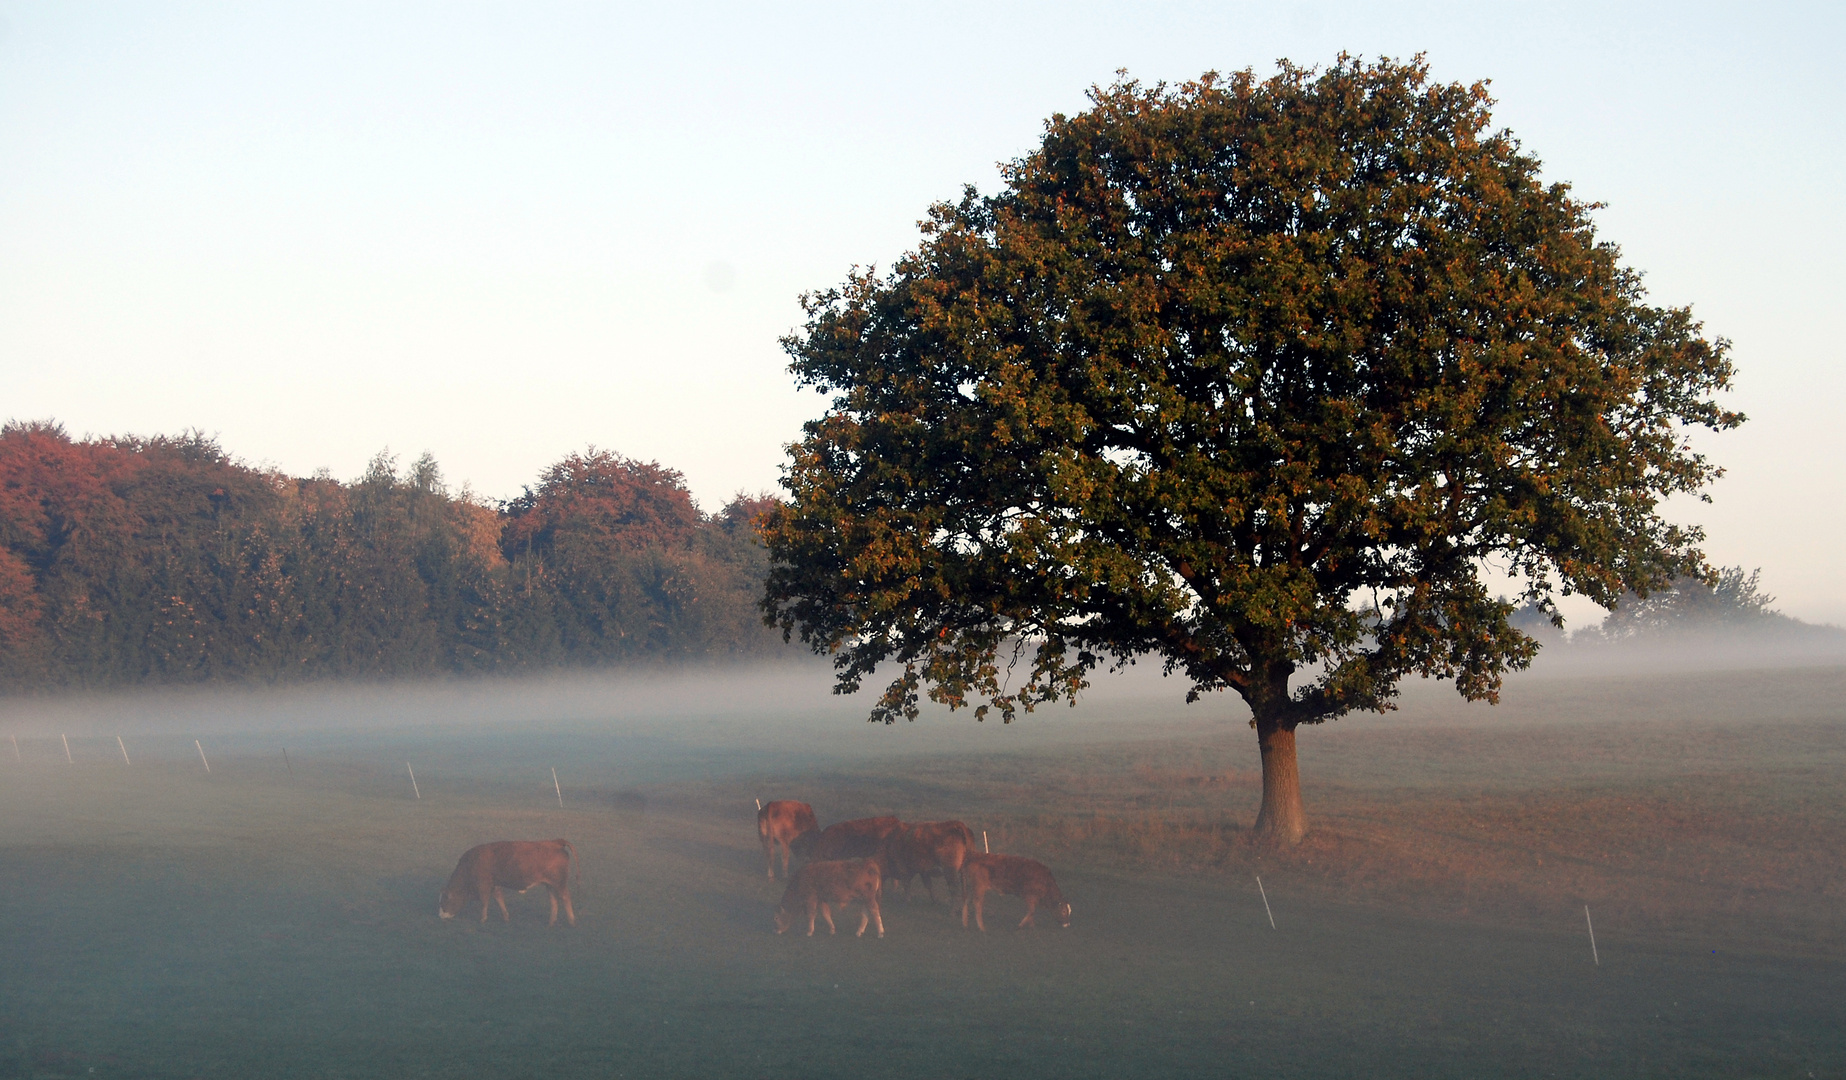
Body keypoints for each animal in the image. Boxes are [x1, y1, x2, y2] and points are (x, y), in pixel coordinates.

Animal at [439, 838, 575, 923]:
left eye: (445, 900)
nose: (440, 915)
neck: (470, 864)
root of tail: (555, 842)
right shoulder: (495, 885)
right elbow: (499, 899)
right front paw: (505, 917)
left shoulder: (483, 885)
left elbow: (484, 901)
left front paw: (482, 919)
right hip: (550, 885)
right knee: (554, 900)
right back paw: (551, 922)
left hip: (559, 883)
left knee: (565, 898)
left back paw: (571, 921)